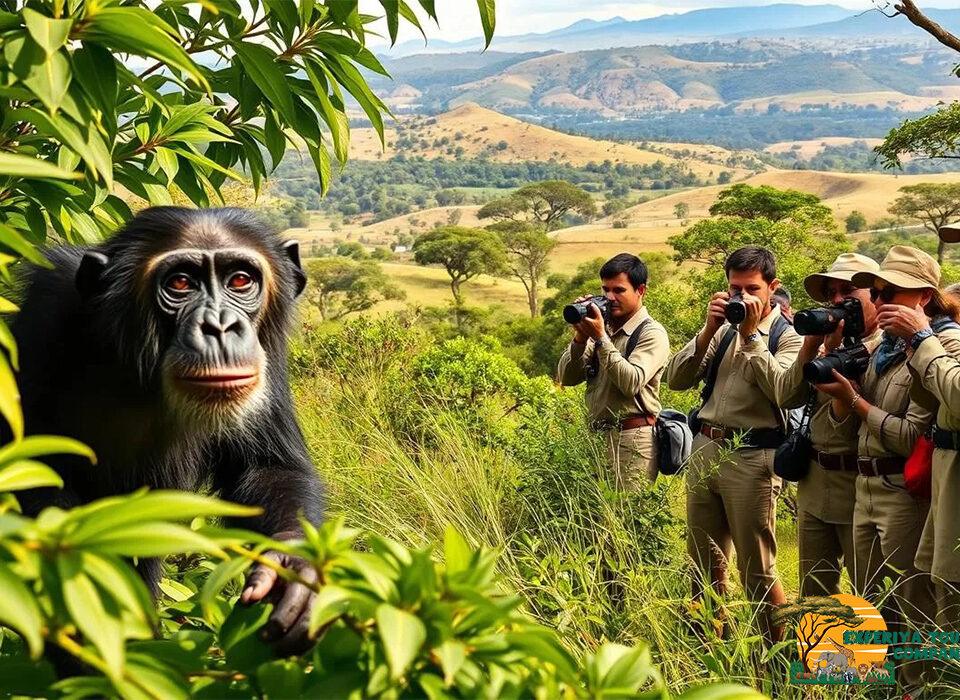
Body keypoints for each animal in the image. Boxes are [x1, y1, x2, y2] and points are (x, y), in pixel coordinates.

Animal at [9, 207, 323, 655]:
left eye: (240, 281)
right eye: (180, 283)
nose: (219, 326)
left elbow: (268, 467)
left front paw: (293, 570)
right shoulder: (44, 317)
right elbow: (30, 466)